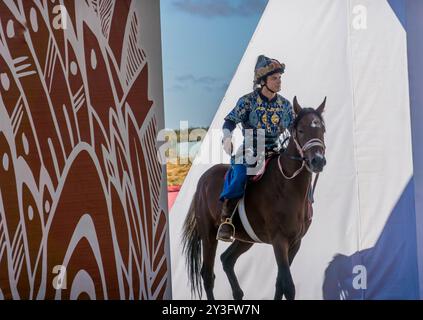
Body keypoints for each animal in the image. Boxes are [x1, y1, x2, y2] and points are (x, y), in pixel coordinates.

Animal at [182, 95, 328, 300]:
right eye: (301, 130)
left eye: (322, 129)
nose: (318, 161)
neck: (287, 185)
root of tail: (203, 180)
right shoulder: (279, 241)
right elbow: (288, 286)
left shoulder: (295, 243)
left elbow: (280, 284)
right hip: (208, 234)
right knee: (207, 275)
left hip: (245, 239)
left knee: (227, 260)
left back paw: (238, 293)